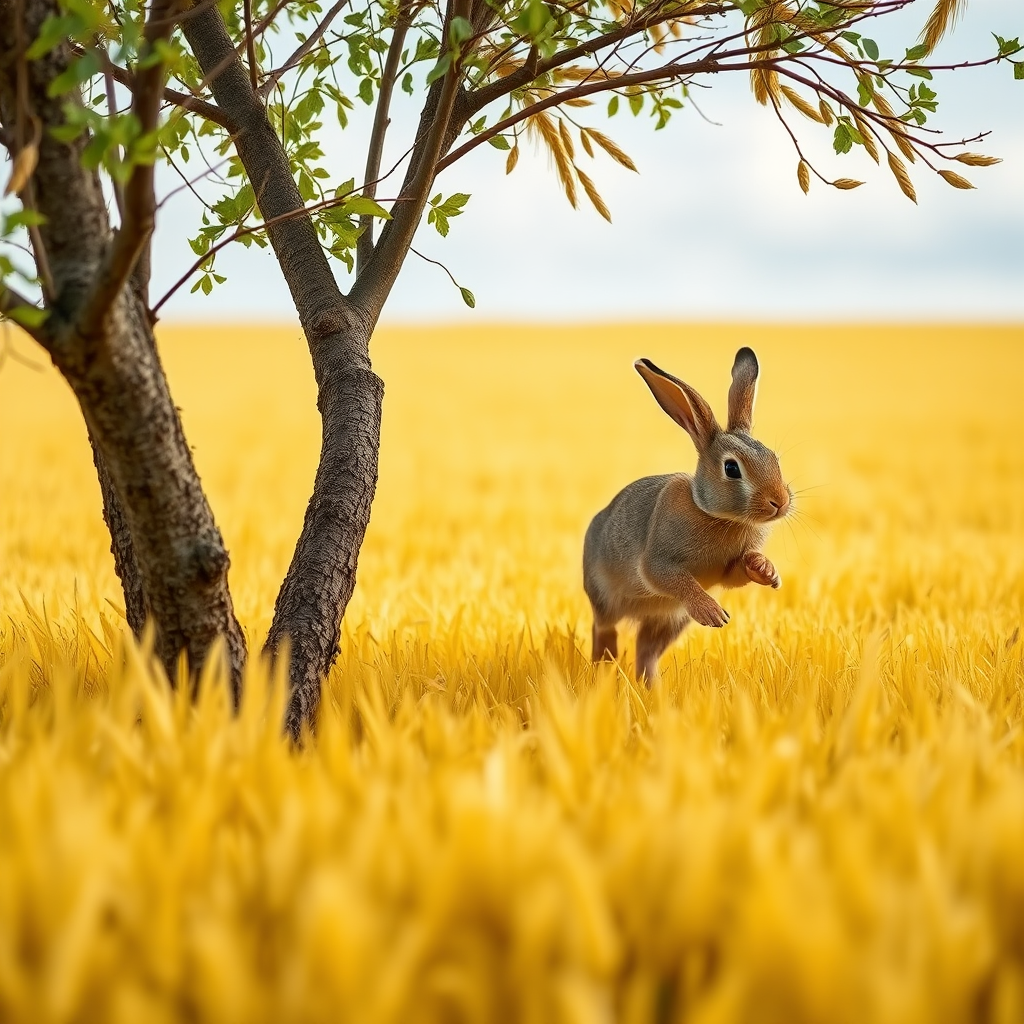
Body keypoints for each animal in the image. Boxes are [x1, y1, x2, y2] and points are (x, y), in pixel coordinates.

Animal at [585, 348, 790, 684]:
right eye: (731, 468)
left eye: (774, 459)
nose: (780, 503)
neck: (715, 514)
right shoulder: (658, 561)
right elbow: (668, 576)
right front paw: (713, 613)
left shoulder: (727, 570)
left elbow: (738, 574)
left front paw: (766, 570)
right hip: (606, 597)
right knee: (604, 627)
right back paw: (605, 665)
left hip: (671, 621)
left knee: (646, 650)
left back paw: (650, 687)